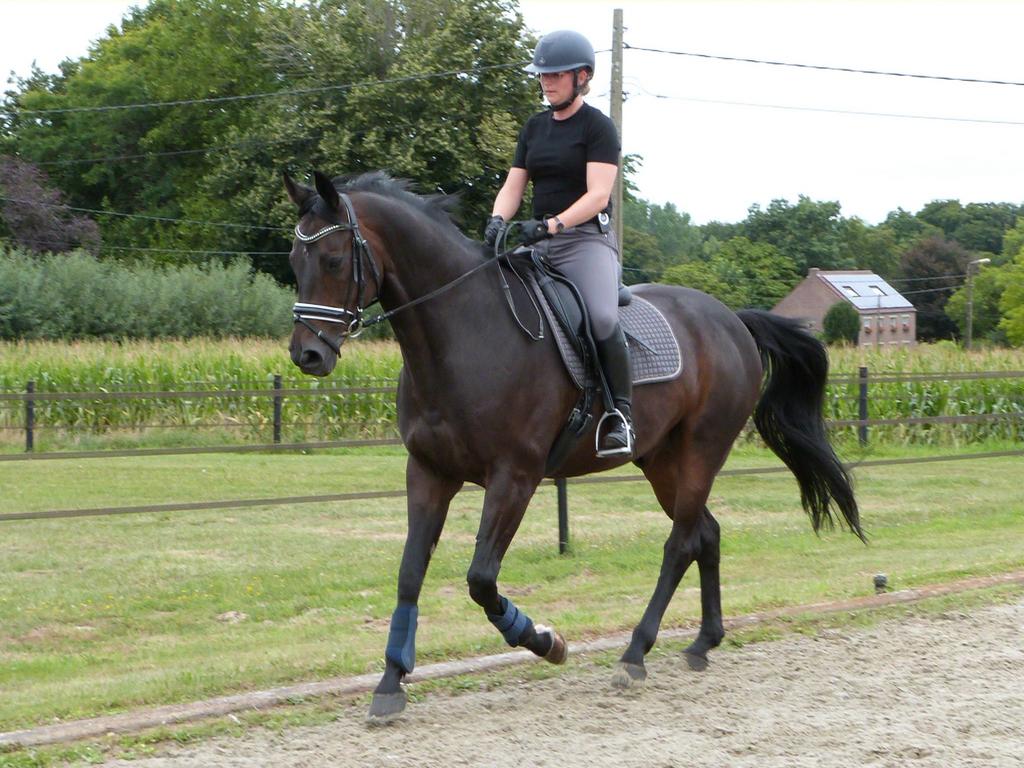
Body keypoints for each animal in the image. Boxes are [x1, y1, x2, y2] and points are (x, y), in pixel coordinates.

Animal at [283, 169, 863, 722]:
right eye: (294, 259)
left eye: (333, 259)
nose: (307, 355)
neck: (462, 332)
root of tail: (731, 319)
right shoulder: (428, 472)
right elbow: (409, 573)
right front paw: (389, 683)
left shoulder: (514, 478)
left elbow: (481, 579)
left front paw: (544, 640)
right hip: (662, 462)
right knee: (706, 533)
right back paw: (703, 641)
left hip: (702, 450)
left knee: (680, 544)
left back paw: (635, 653)